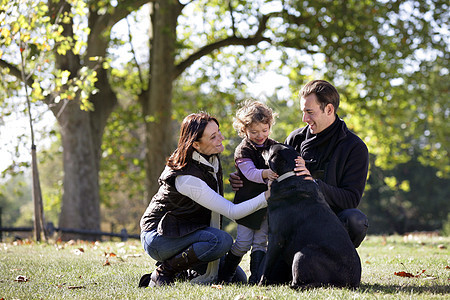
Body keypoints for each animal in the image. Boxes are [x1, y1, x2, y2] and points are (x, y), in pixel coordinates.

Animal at [258, 144, 360, 290]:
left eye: (270, 149)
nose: (262, 147)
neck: (290, 175)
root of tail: (351, 283)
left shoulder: (276, 237)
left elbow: (267, 264)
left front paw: (261, 282)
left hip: (302, 253)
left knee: (301, 283)